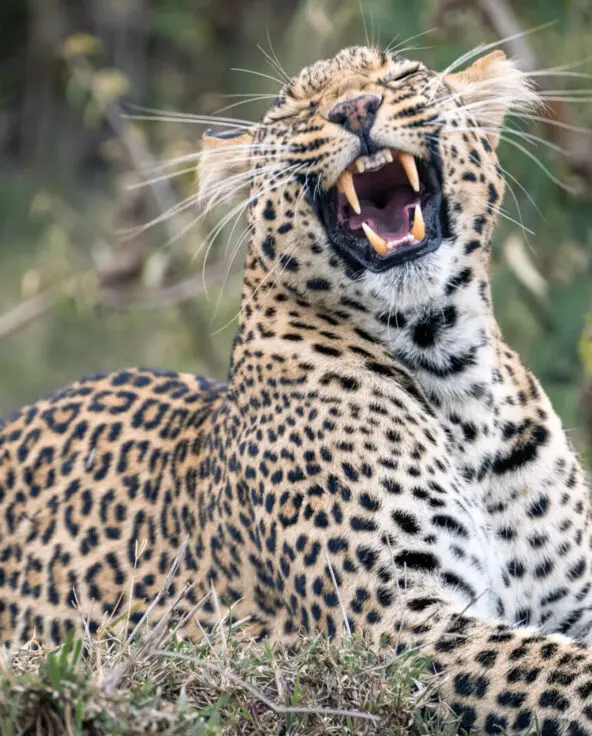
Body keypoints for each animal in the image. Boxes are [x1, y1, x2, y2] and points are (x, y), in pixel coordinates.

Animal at [1, 44, 592, 733]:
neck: (453, 375)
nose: (355, 108)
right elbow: (565, 671)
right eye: (296, 110)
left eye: (399, 76)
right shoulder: (394, 626)